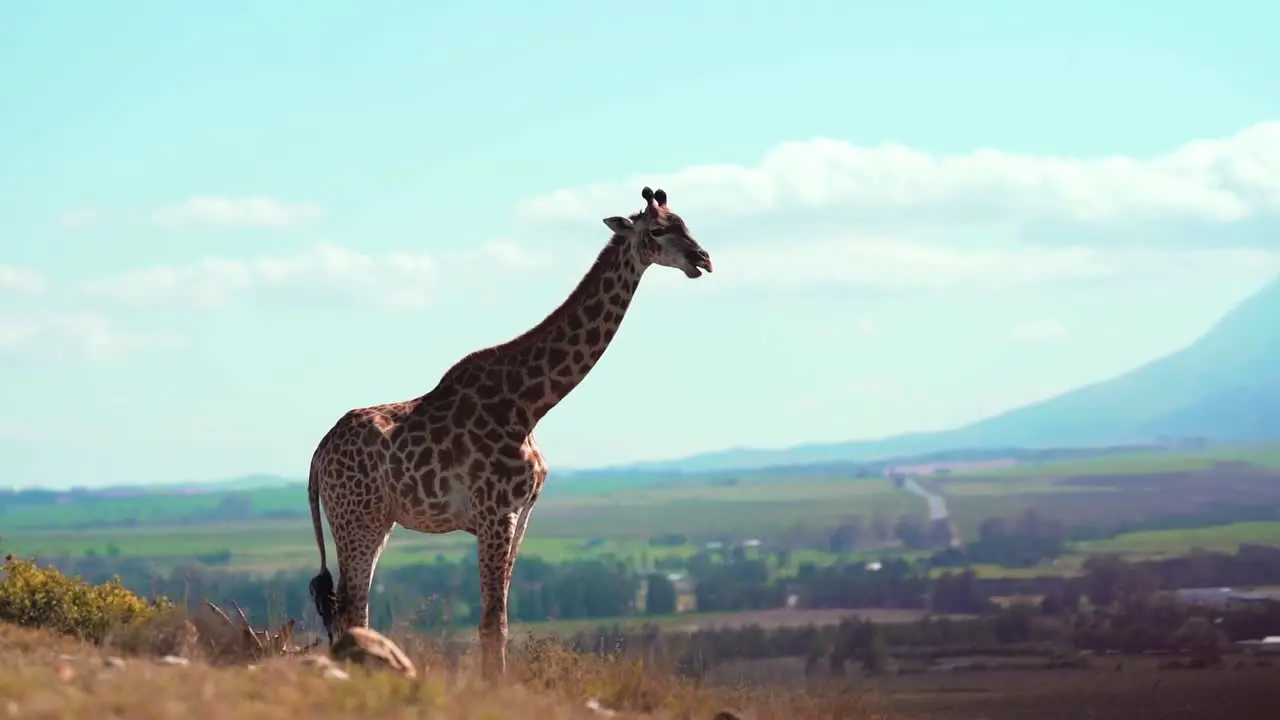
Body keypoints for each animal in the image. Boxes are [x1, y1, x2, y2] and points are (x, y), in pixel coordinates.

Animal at [305, 183, 716, 671]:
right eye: (657, 230)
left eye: (685, 223)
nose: (703, 259)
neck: (532, 403)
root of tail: (318, 454)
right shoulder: (495, 511)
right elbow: (493, 623)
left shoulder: (522, 515)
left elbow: (498, 619)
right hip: (358, 519)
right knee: (351, 606)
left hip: (375, 521)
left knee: (352, 607)